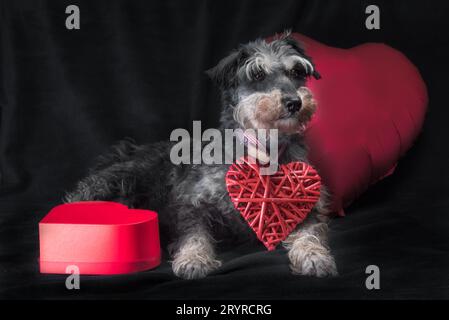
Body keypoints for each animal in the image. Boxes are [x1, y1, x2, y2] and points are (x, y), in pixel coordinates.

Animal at [65, 31, 338, 278]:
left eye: (297, 72)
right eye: (258, 74)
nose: (294, 102)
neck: (263, 150)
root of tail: (127, 151)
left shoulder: (308, 204)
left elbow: (309, 232)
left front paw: (315, 257)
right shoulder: (190, 202)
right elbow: (193, 233)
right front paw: (193, 259)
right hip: (116, 181)